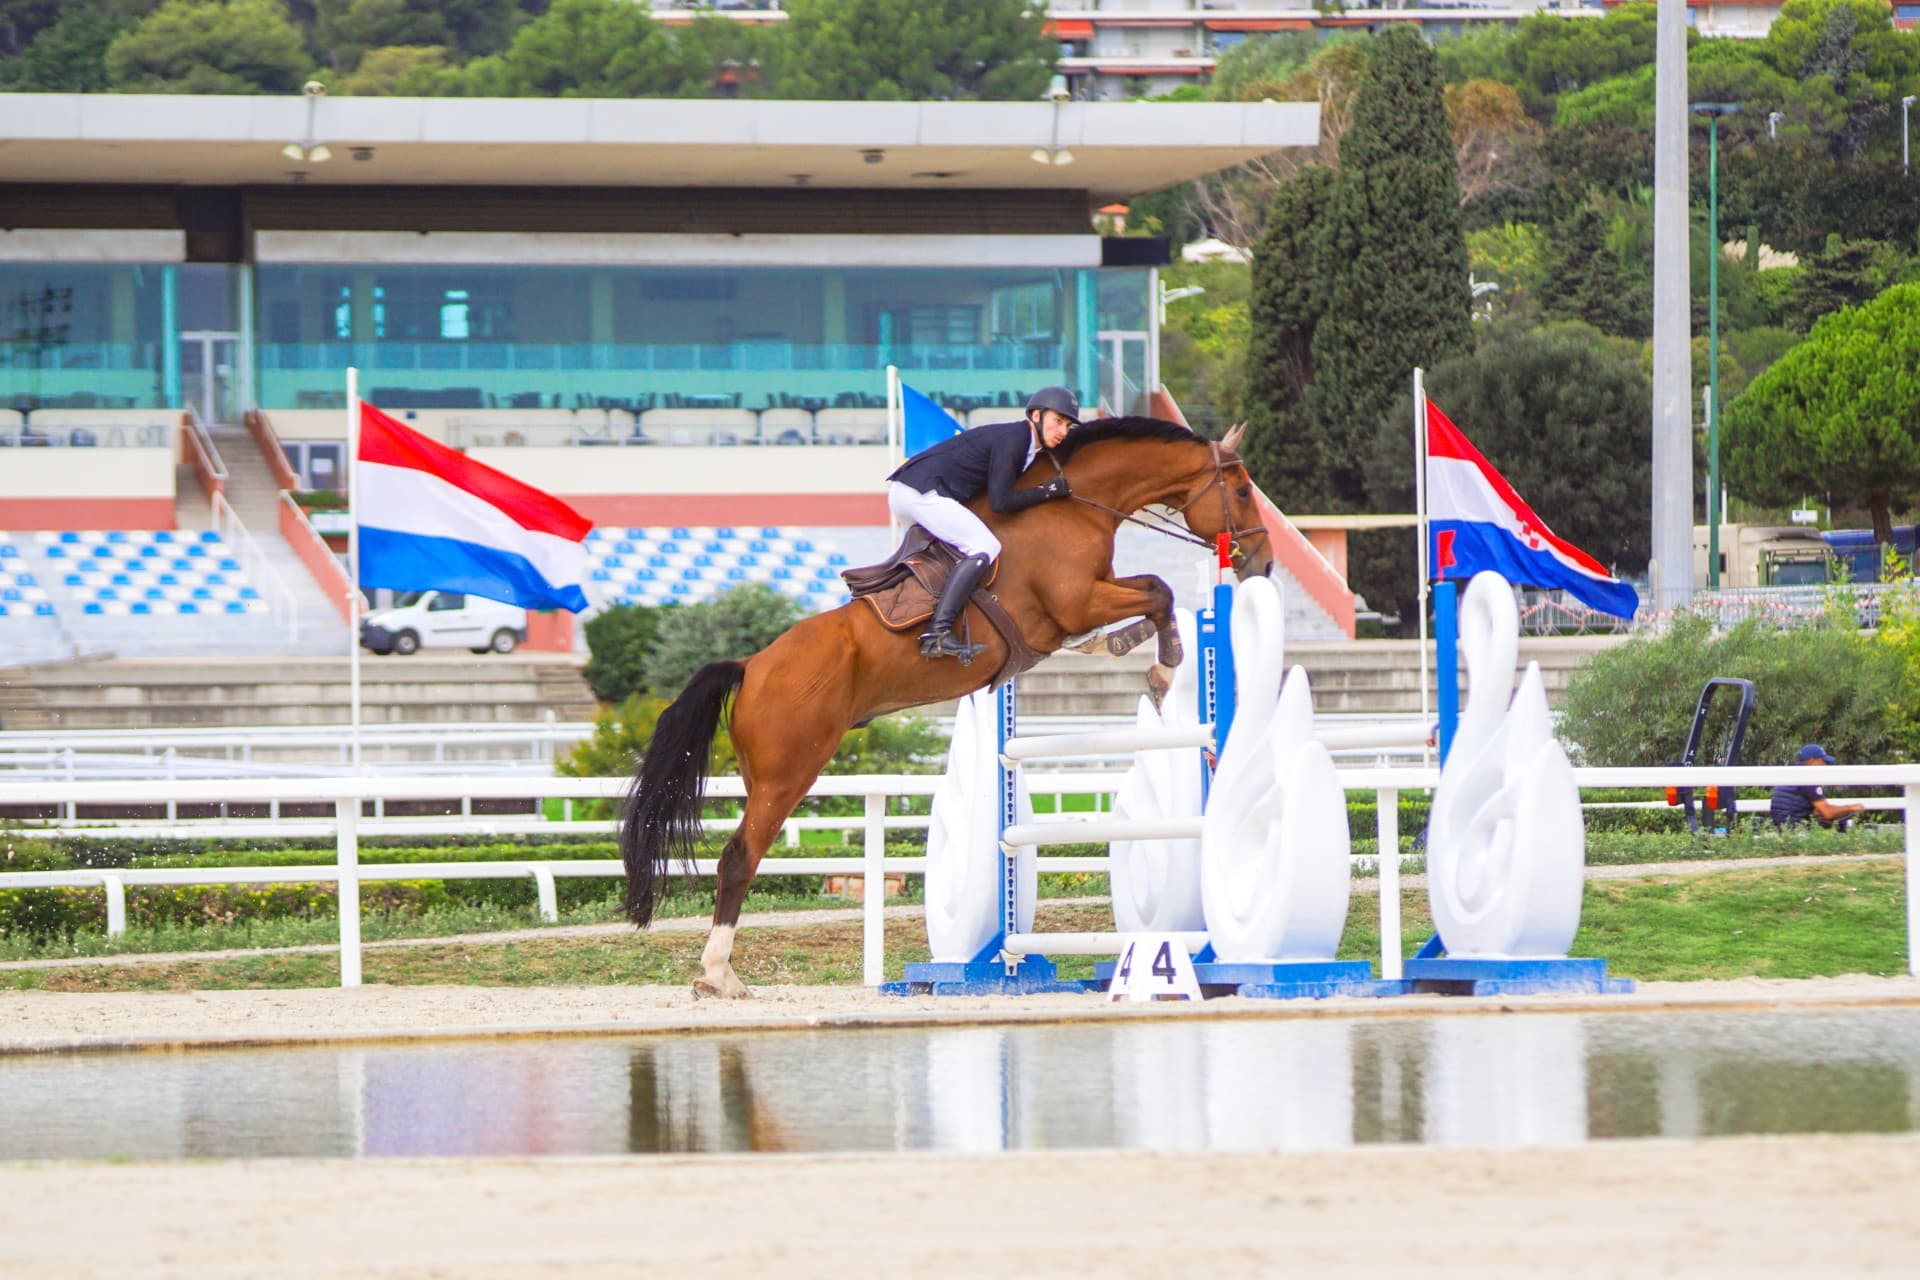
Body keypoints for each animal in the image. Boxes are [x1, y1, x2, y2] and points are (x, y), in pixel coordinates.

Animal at [619, 417, 1275, 998]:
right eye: (1243, 490)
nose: (1264, 564)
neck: (1074, 506)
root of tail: (753, 664)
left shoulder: (1084, 603)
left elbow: (1146, 593)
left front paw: (1121, 647)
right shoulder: (1076, 601)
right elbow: (1158, 593)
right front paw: (1162, 663)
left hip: (763, 772)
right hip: (790, 772)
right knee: (739, 858)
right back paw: (718, 975)